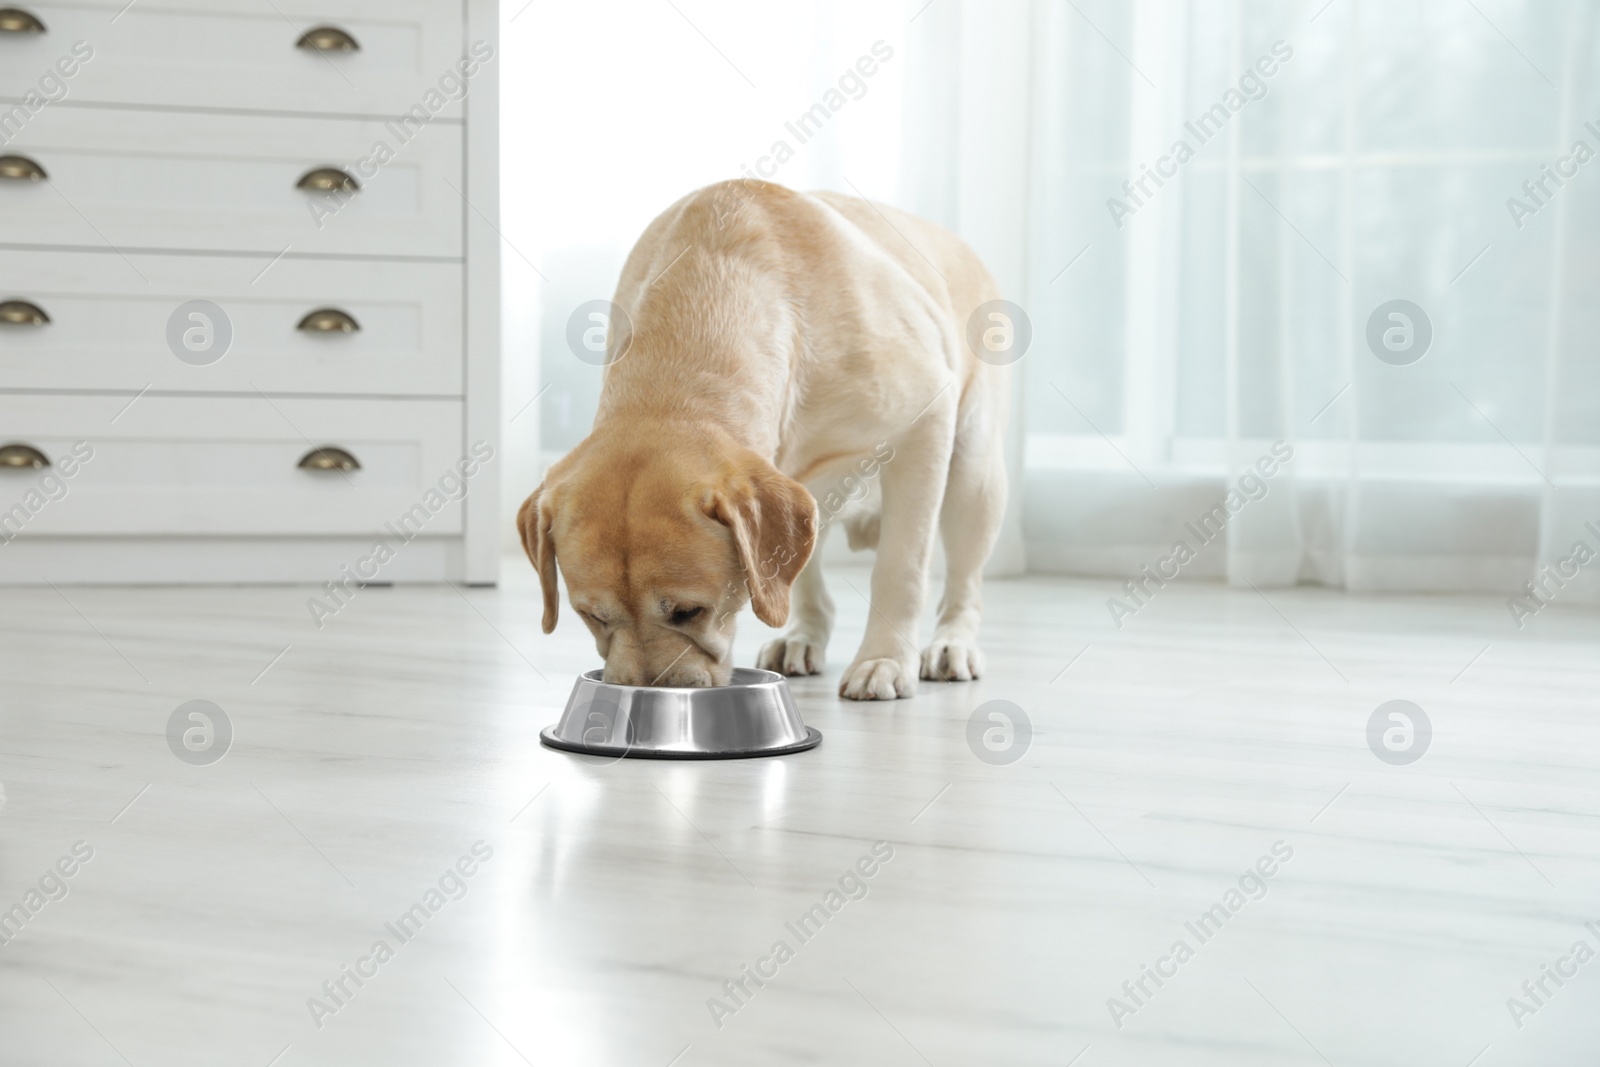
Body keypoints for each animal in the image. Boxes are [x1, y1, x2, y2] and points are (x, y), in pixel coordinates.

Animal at [518, 181, 1004, 700]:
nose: (650, 692)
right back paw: (801, 637)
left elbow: (901, 568)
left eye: (690, 612)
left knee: (964, 581)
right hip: (808, 500)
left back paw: (952, 645)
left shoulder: (924, 421)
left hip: (974, 479)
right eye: (592, 616)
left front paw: (885, 661)